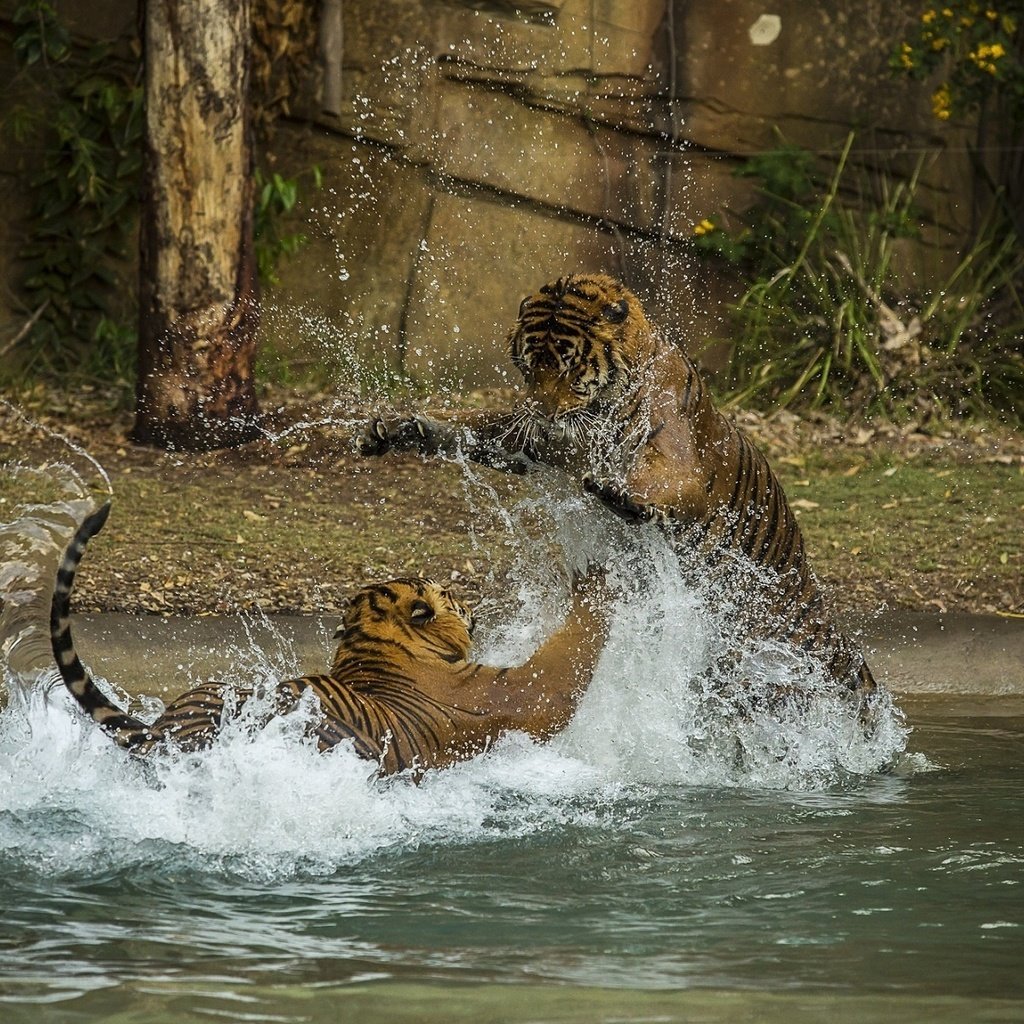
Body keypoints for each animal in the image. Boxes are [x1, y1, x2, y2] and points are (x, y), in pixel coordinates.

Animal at [49, 499, 606, 770]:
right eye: (451, 593)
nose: (471, 607)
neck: (375, 645)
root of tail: (167, 736)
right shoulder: (516, 690)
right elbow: (565, 659)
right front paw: (596, 577)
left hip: (213, 688)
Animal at [358, 270, 880, 720]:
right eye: (529, 367)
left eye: (569, 368)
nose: (543, 412)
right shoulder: (536, 441)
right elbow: (475, 427)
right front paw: (400, 429)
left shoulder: (679, 457)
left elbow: (660, 480)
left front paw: (617, 488)